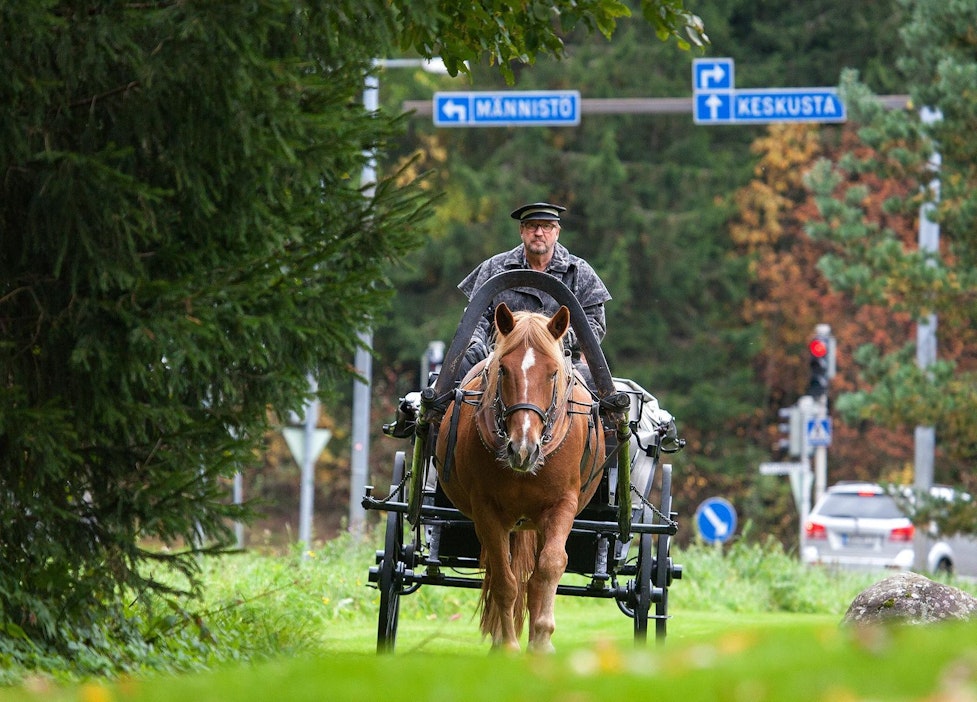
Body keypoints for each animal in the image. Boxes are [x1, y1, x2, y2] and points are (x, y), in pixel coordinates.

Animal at [434, 302, 604, 656]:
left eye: (553, 372)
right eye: (503, 370)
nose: (523, 448)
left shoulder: (561, 505)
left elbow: (550, 566)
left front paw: (541, 638)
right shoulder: (486, 509)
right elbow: (504, 578)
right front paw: (509, 645)